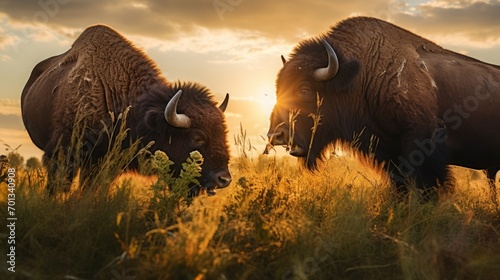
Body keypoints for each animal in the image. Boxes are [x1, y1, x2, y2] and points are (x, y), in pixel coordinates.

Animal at [268, 16, 500, 194]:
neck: (362, 74)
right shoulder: (389, 152)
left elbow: (425, 185)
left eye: (304, 89)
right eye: (278, 89)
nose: (275, 135)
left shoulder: (422, 139)